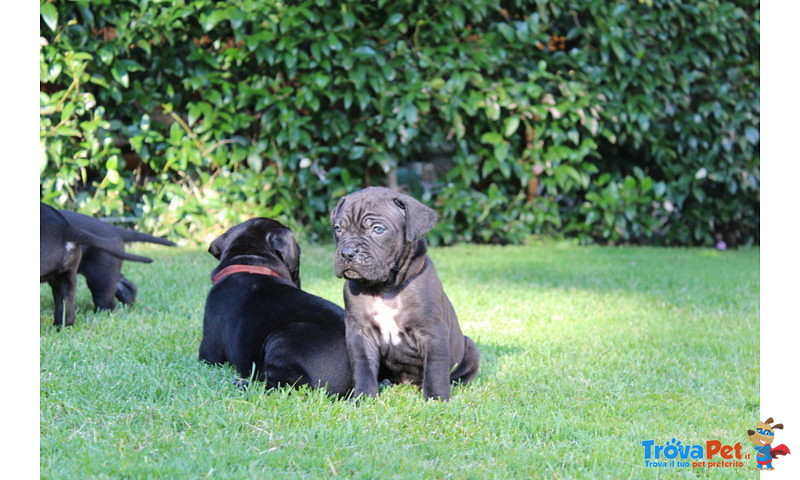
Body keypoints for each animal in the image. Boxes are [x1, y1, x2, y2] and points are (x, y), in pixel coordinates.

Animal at [330, 186, 478, 400]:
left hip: (471, 349)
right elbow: (363, 367)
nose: (347, 253)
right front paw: (363, 397)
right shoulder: (360, 333)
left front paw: (436, 398)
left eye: (378, 229)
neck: (385, 289)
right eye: (338, 229)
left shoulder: (432, 332)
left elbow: (435, 368)